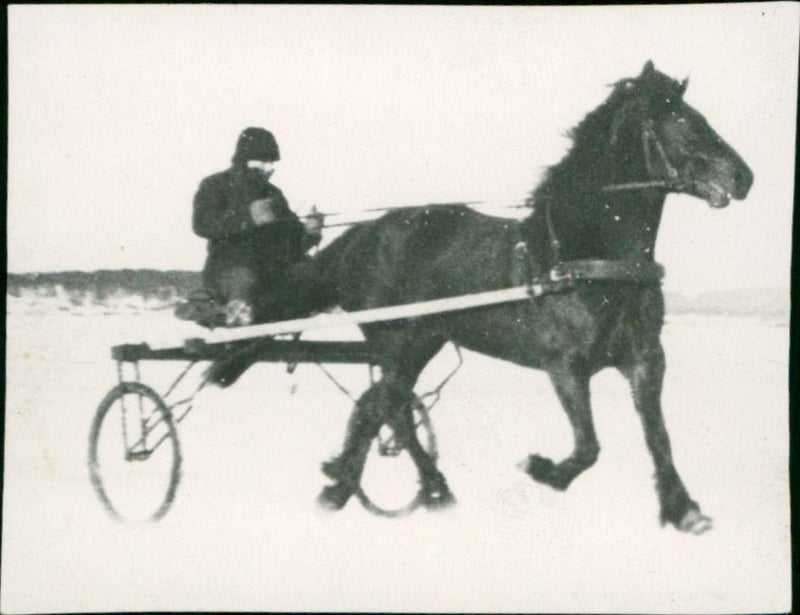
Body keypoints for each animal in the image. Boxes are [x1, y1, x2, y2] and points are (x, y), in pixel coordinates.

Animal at [211, 63, 752, 536]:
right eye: (682, 121)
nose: (744, 177)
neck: (584, 258)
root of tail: (364, 234)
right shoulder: (565, 364)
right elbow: (588, 447)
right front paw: (540, 467)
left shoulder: (645, 359)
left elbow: (658, 438)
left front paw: (683, 509)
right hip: (398, 341)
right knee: (387, 410)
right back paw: (395, 487)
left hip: (420, 341)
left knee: (382, 406)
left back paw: (371, 485)